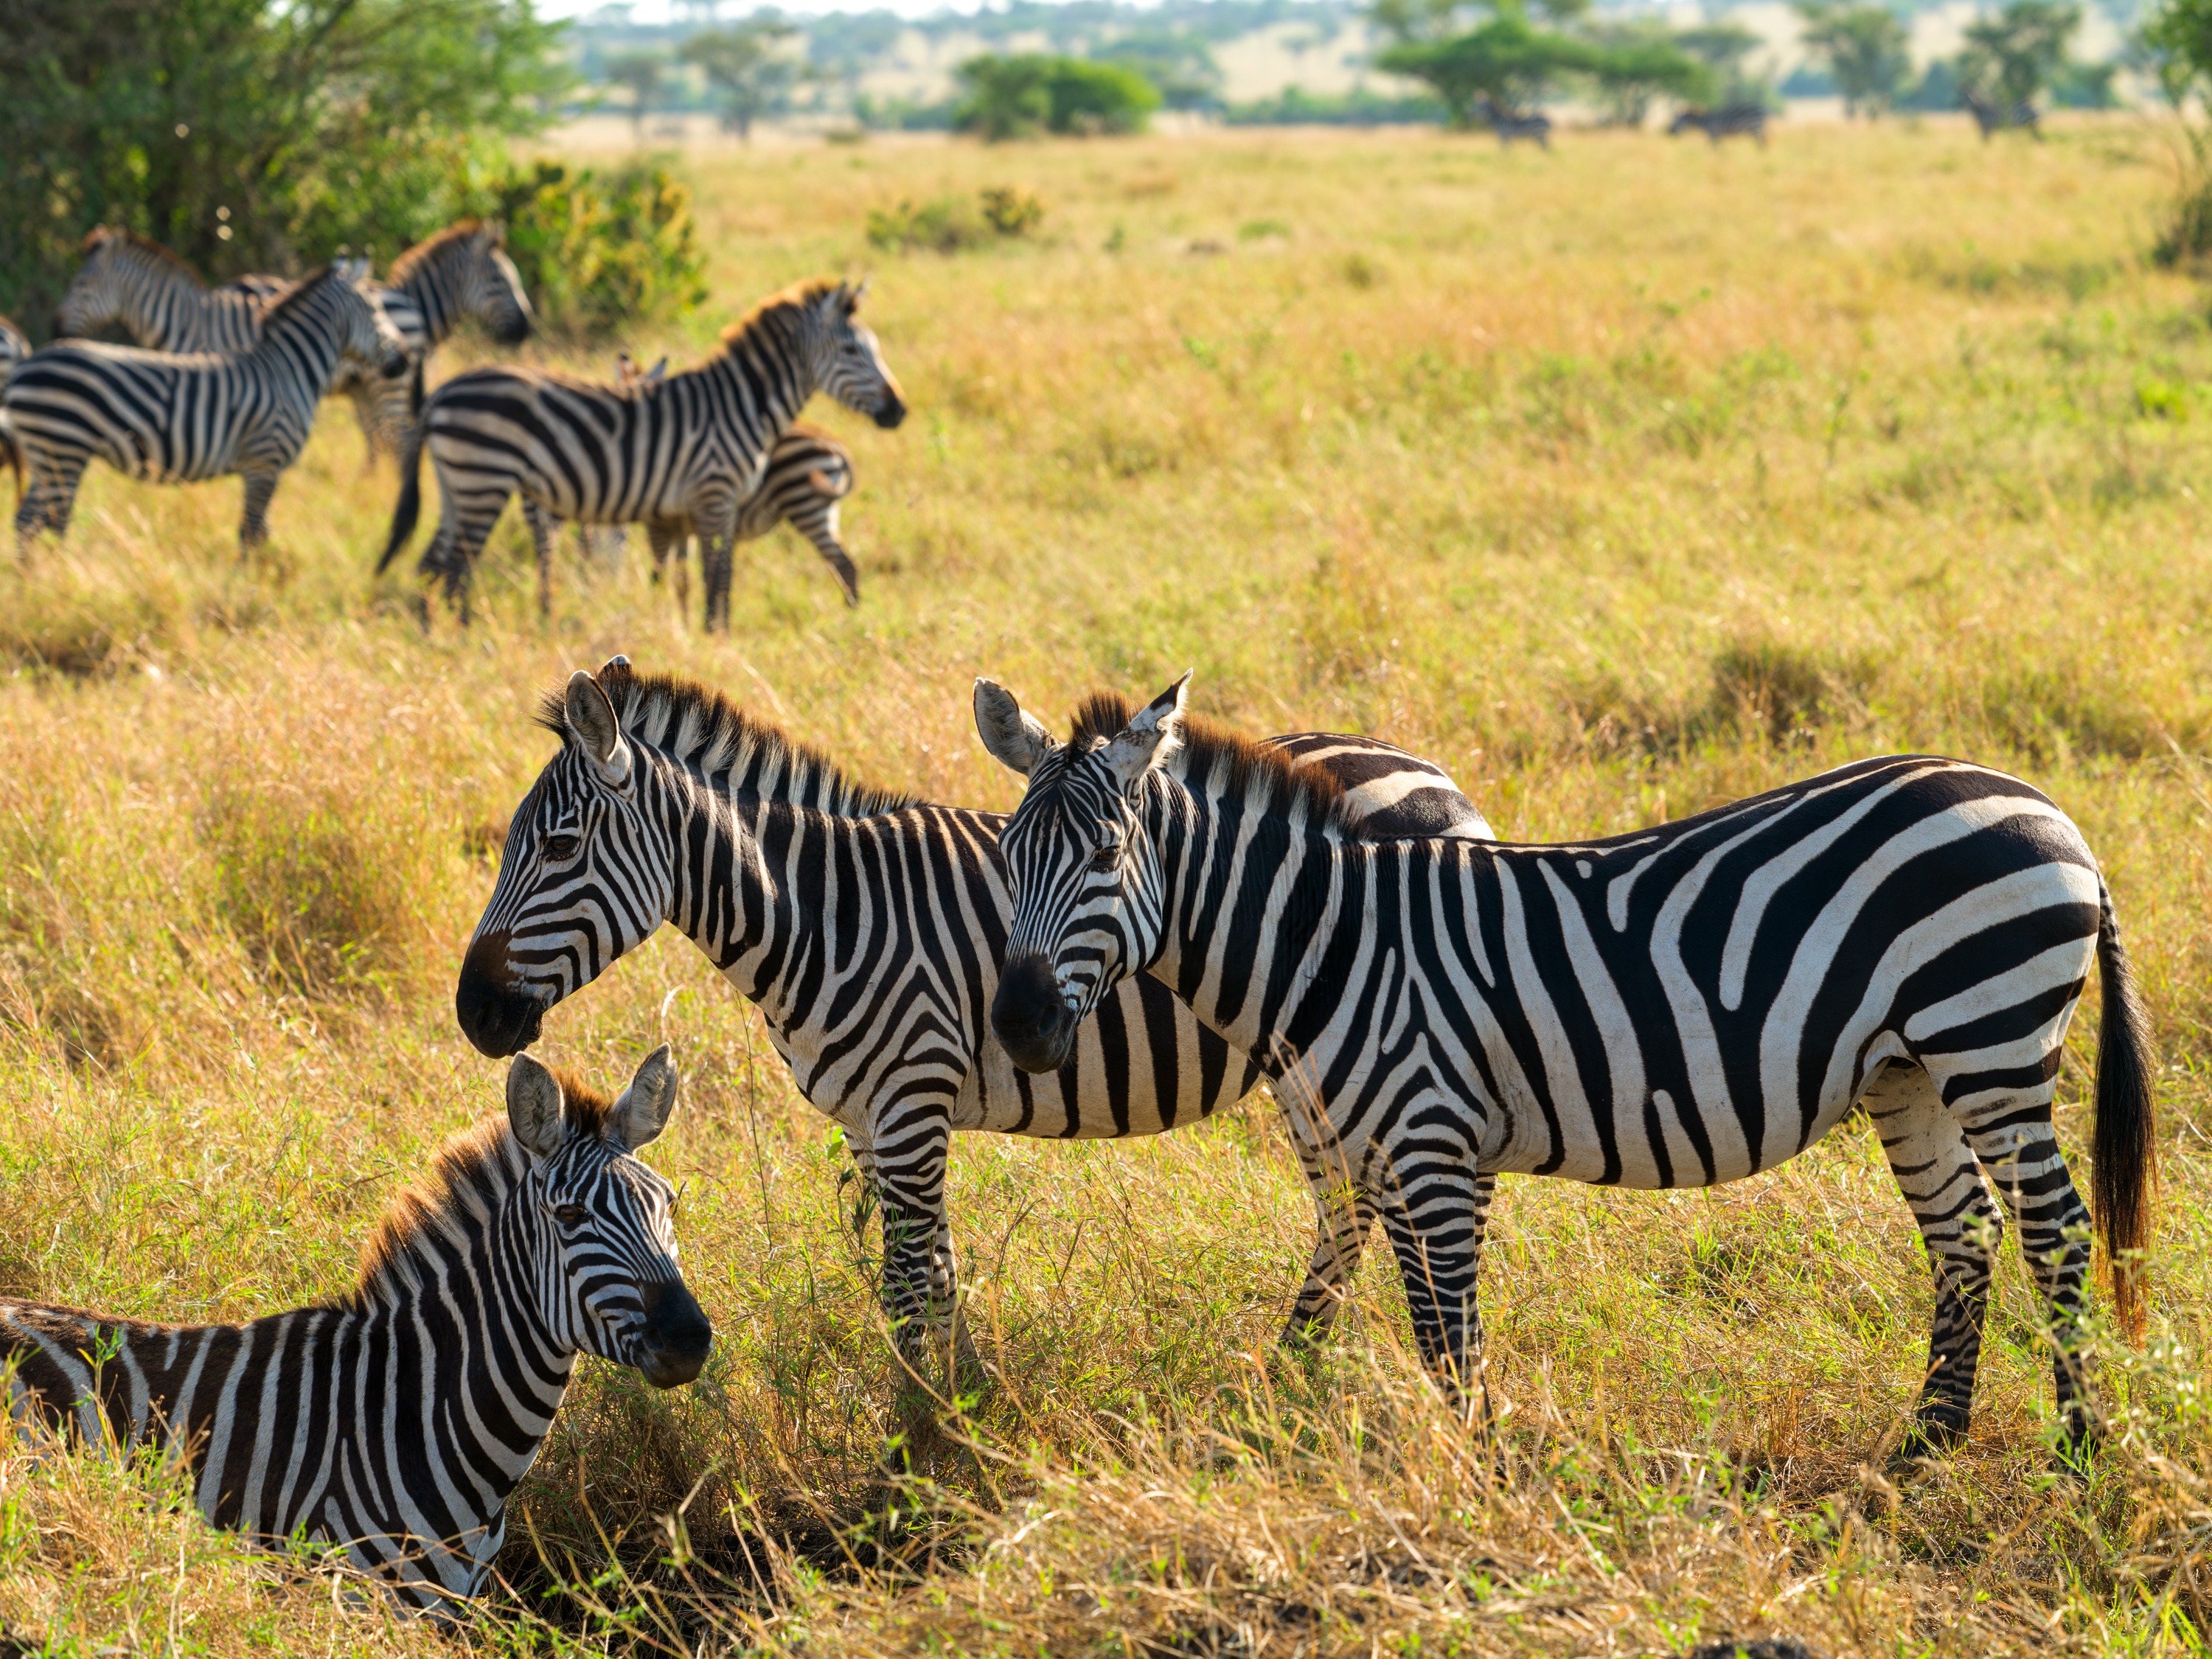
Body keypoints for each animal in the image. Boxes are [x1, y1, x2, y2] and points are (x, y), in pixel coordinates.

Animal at [8, 266, 408, 555]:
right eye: (375, 310)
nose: (404, 361)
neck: (289, 370)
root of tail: (24, 365)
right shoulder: (265, 462)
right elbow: (252, 534)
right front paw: (250, 594)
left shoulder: (264, 467)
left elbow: (260, 533)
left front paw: (265, 583)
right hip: (64, 448)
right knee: (51, 522)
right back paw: (63, 580)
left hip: (47, 454)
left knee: (26, 521)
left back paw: (35, 586)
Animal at [379, 279, 902, 629]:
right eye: (853, 350)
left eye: (874, 347)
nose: (900, 410)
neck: (739, 404)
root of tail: (439, 394)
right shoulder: (713, 494)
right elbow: (716, 575)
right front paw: (715, 639)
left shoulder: (696, 507)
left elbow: (705, 575)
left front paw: (703, 634)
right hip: (483, 478)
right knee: (457, 567)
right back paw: (468, 637)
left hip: (459, 483)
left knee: (432, 564)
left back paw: (434, 635)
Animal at [449, 659, 1490, 1379]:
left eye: (558, 846)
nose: (473, 1014)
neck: (825, 915)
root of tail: (1433, 772)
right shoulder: (871, 1124)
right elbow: (934, 1280)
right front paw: (963, 1402)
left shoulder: (912, 1107)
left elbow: (910, 1290)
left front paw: (923, 1439)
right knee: (1351, 1209)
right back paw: (1292, 1369)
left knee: (1361, 1206)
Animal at [972, 674, 2158, 1457]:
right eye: (1006, 858)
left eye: (1106, 856)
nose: (1021, 1028)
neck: (1332, 940)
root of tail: (2054, 813)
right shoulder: (1394, 1151)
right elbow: (1424, 1315)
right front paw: (1457, 1458)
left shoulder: (1436, 1139)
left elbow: (1451, 1325)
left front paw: (1480, 1471)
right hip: (1909, 1069)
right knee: (1965, 1228)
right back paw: (1926, 1445)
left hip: (1990, 1035)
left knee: (2056, 1229)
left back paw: (2078, 1448)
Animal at [1668, 105, 1770, 146]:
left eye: (1677, 121)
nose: (1670, 132)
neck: (1704, 122)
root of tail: (1760, 110)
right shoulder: (1715, 134)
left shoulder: (1713, 133)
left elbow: (1715, 148)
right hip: (1757, 128)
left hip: (1754, 128)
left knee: (1761, 143)